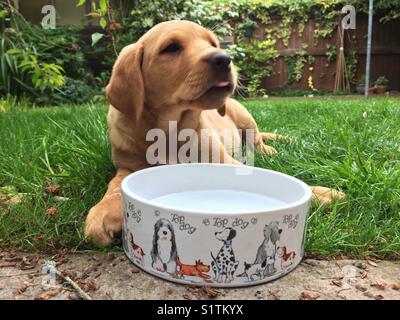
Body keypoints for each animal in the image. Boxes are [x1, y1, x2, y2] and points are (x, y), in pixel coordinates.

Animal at [83, 19, 344, 245]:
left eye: (213, 43)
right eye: (171, 48)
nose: (224, 59)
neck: (170, 129)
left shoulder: (223, 161)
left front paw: (320, 193)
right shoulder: (126, 167)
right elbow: (115, 187)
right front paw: (103, 213)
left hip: (245, 117)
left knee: (257, 141)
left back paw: (268, 150)